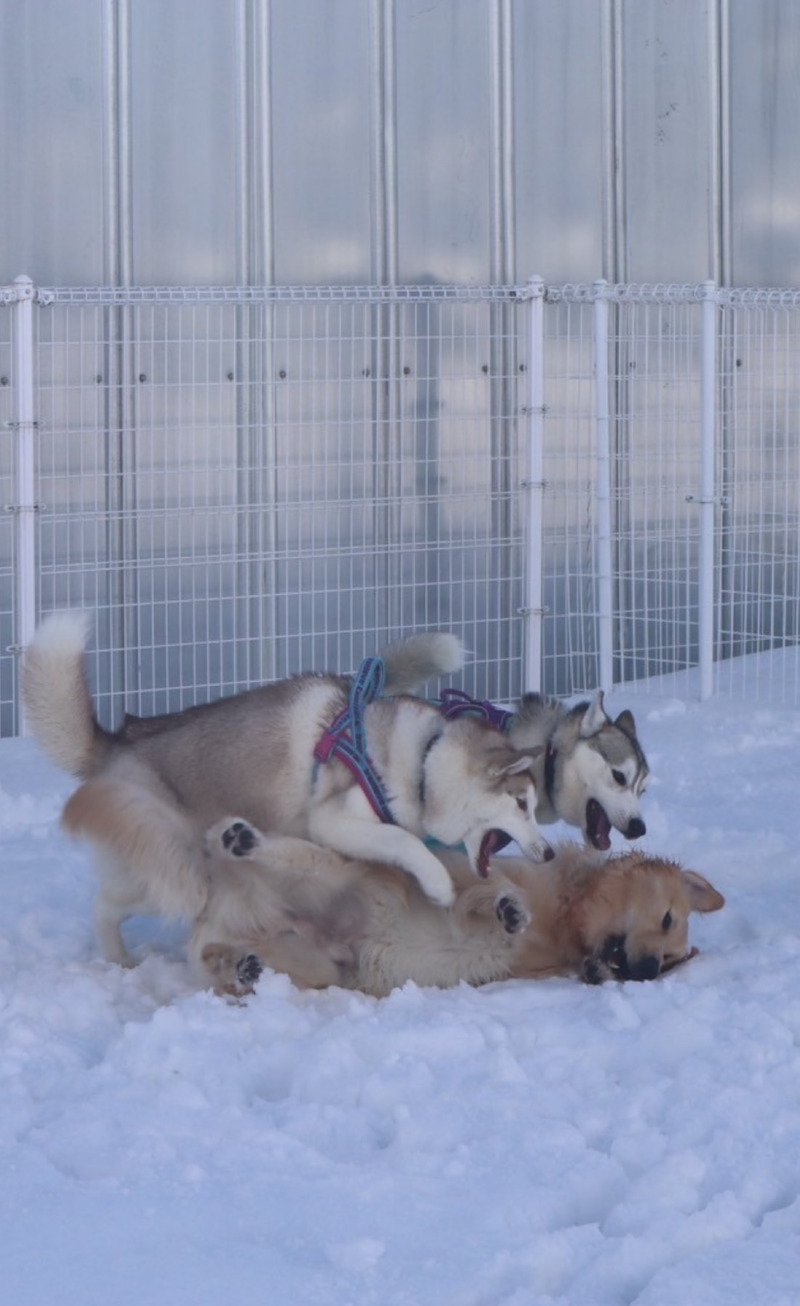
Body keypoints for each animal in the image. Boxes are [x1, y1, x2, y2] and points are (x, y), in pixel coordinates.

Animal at [194, 825, 725, 997]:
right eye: (667, 919)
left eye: (672, 962)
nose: (647, 970)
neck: (565, 917)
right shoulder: (460, 872)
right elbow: (490, 887)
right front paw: (508, 908)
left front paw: (598, 969)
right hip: (328, 873)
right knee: (274, 854)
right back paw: (239, 839)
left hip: (318, 965)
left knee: (218, 959)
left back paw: (240, 966)